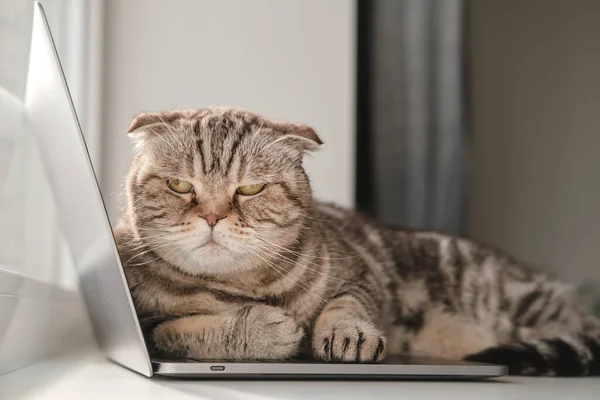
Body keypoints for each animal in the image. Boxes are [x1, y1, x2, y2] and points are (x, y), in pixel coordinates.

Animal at [113, 106, 600, 376]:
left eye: (250, 189)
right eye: (180, 185)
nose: (212, 216)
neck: (241, 286)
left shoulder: (360, 271)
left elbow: (347, 304)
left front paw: (347, 333)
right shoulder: (148, 324)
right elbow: (183, 330)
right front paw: (266, 327)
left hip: (515, 304)